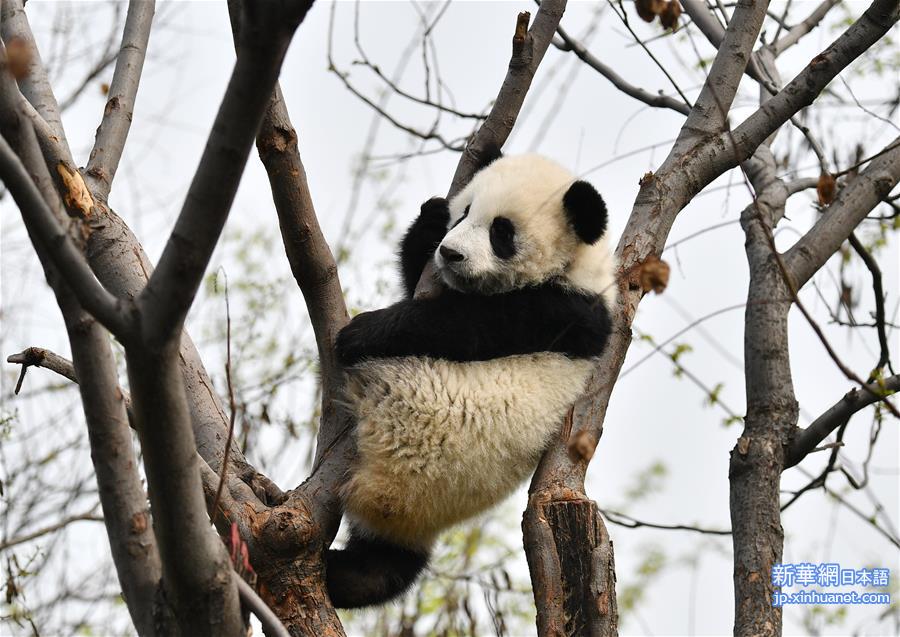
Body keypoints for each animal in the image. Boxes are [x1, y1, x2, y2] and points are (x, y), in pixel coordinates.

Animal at [326, 152, 616, 608]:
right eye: (464, 212)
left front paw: (360, 332)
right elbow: (419, 275)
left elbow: (463, 326)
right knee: (383, 569)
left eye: (501, 232)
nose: (450, 253)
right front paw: (430, 218)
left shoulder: (564, 311)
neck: (576, 267)